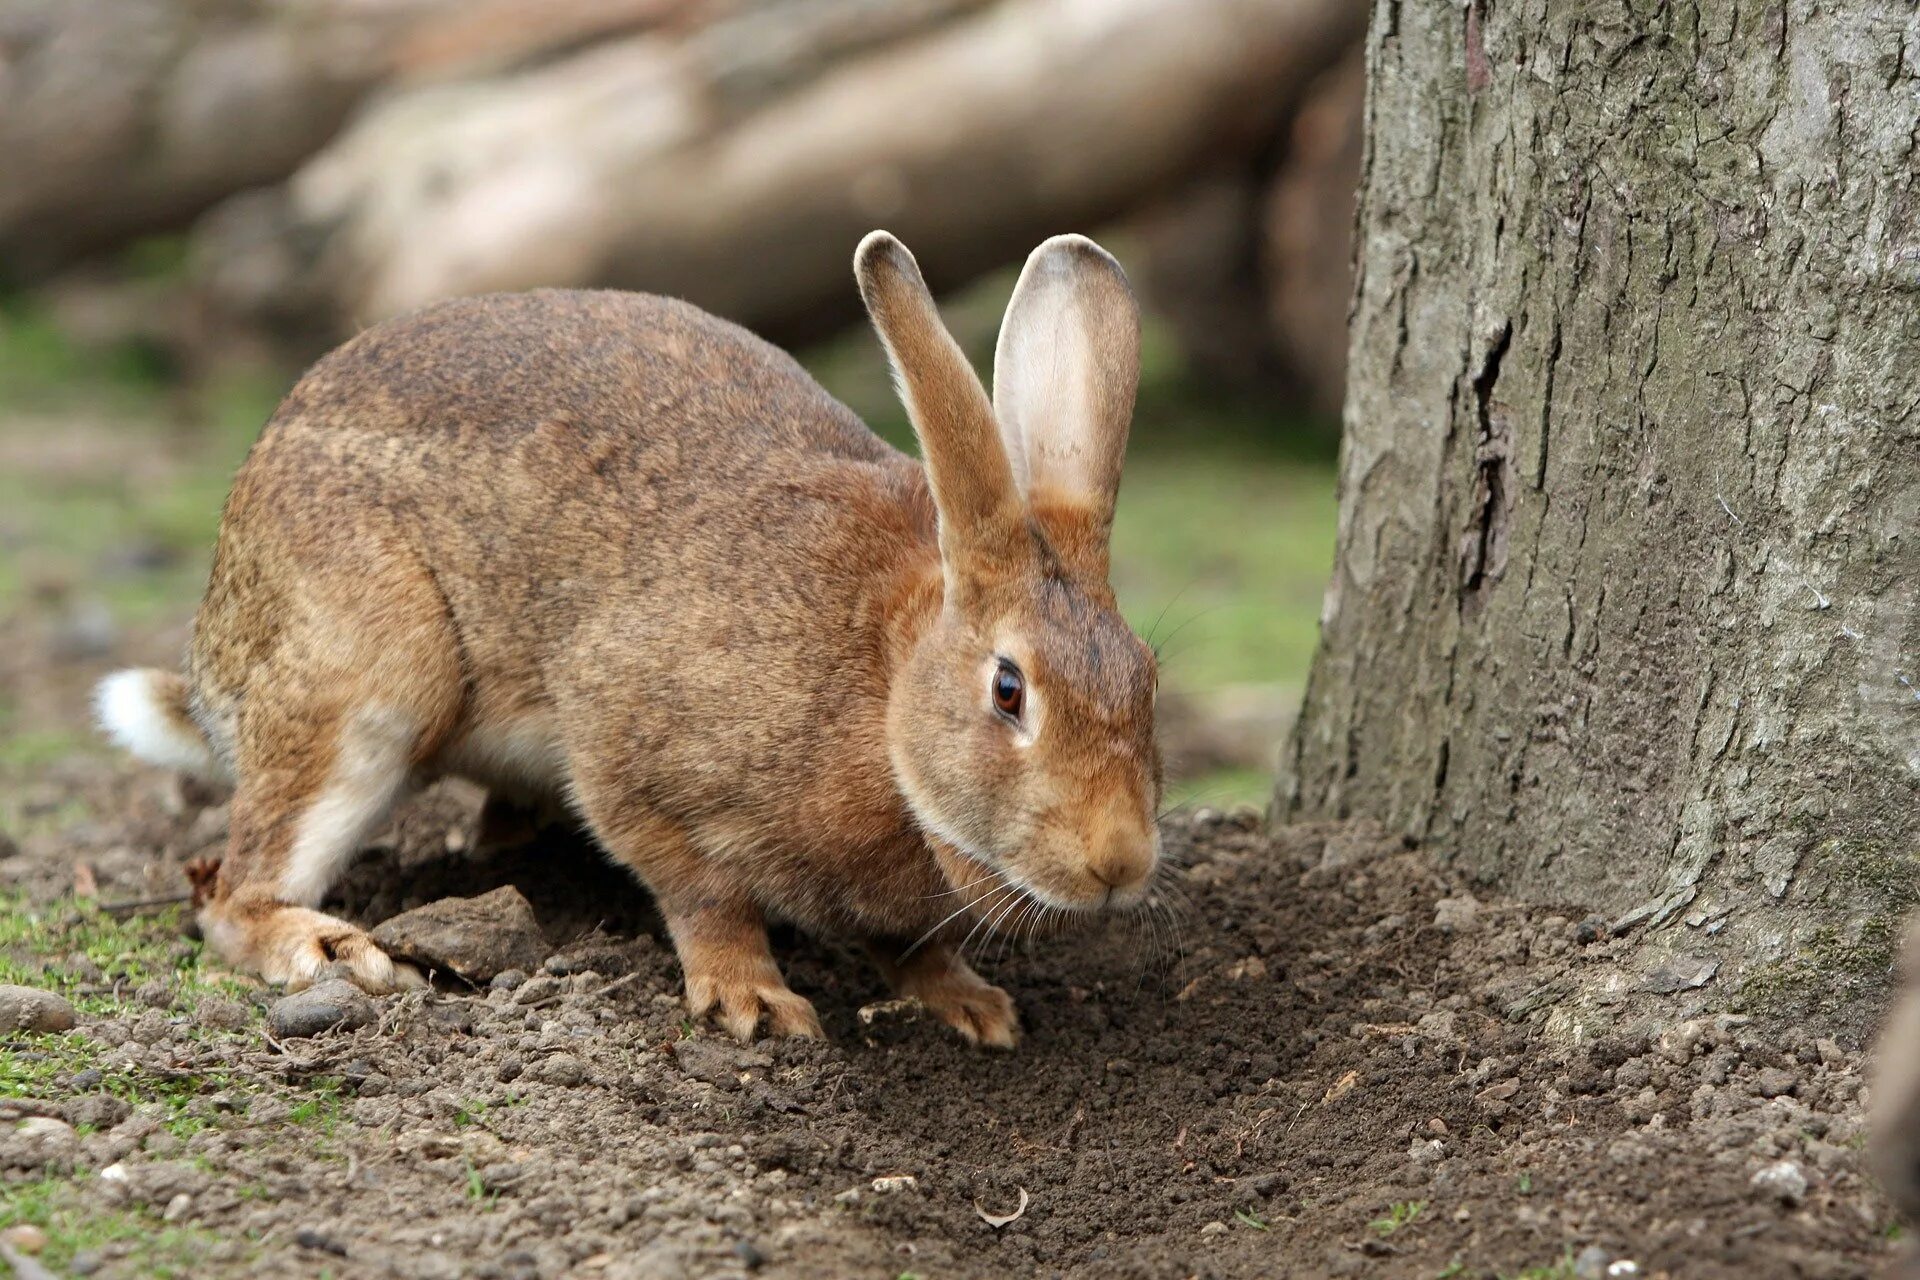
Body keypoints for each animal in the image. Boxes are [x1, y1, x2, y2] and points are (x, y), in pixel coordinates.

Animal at [97, 230, 1159, 1043]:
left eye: (1147, 680)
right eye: (1009, 689)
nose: (1120, 862)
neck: (885, 683)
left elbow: (912, 946)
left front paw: (973, 1008)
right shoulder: (632, 753)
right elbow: (703, 894)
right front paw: (755, 1002)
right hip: (368, 680)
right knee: (233, 891)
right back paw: (327, 947)